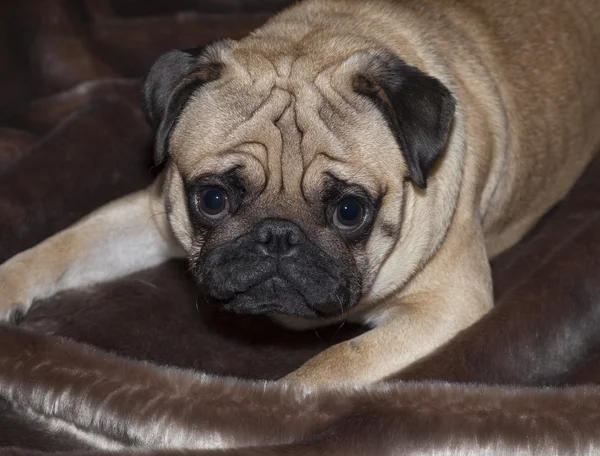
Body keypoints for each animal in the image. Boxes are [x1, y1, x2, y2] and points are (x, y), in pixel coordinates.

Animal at [1, 0, 600, 384]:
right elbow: (64, 245)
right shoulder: (152, 214)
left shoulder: (445, 306)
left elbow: (326, 370)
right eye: (212, 199)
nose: (277, 237)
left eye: (350, 210)